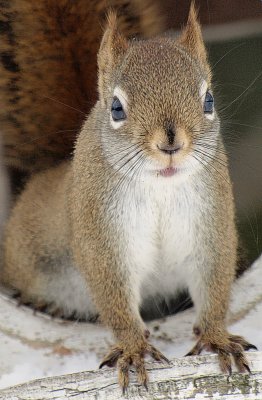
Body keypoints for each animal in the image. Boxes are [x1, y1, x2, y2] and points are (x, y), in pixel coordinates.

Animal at [1, 3, 256, 390]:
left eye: (209, 100)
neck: (160, 186)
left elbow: (213, 281)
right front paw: (134, 349)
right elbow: (114, 296)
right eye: (117, 109)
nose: (171, 144)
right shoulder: (102, 236)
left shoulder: (210, 224)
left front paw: (217, 338)